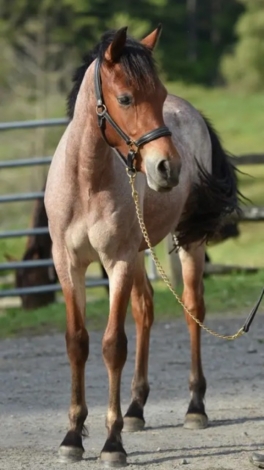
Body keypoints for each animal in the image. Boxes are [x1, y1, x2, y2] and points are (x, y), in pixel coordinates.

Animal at [44, 27, 239, 468]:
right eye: (126, 98)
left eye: (160, 94)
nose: (168, 167)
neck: (86, 181)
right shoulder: (69, 264)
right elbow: (77, 342)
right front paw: (72, 436)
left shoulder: (116, 261)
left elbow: (113, 345)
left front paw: (112, 443)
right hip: (141, 254)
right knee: (145, 310)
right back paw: (135, 408)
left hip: (183, 243)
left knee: (192, 309)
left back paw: (195, 407)